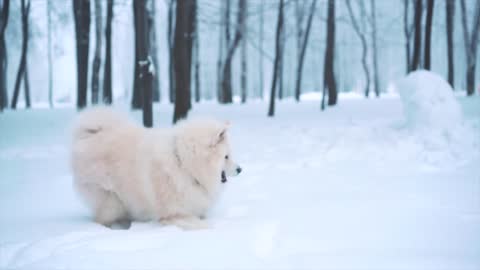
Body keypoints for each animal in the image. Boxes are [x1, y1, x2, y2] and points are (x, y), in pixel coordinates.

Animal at [69, 107, 242, 230]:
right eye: (226, 157)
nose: (240, 169)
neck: (183, 164)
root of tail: (92, 133)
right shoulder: (173, 214)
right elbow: (201, 225)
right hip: (111, 200)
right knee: (101, 218)